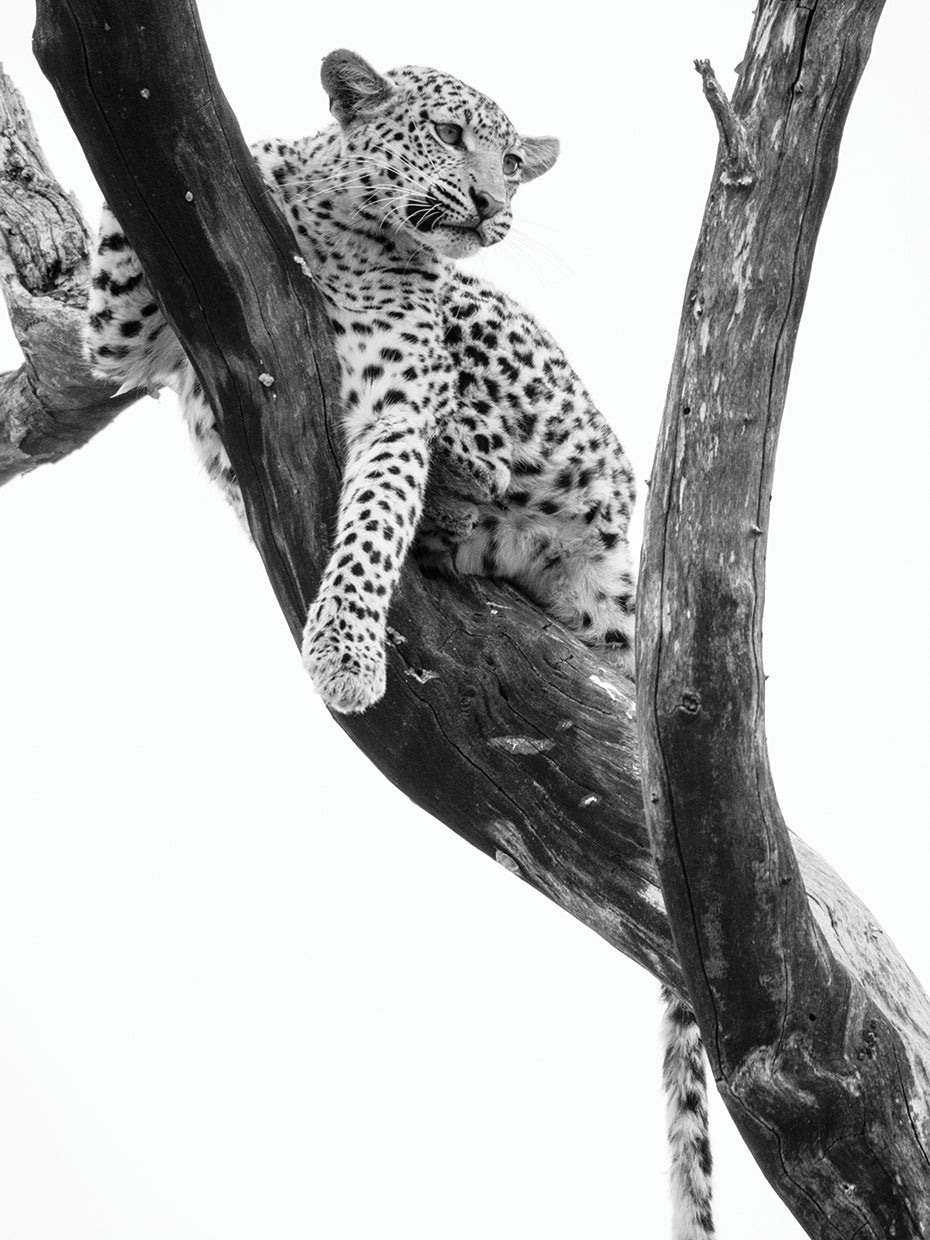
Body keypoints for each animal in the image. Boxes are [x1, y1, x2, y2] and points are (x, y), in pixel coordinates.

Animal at [84, 49, 713, 1240]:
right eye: (454, 137)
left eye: (515, 160)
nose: (496, 207)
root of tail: (627, 557)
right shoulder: (122, 341)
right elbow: (121, 256)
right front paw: (272, 150)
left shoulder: (387, 408)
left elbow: (373, 523)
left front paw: (343, 653)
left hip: (545, 406)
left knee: (493, 465)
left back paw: (465, 475)